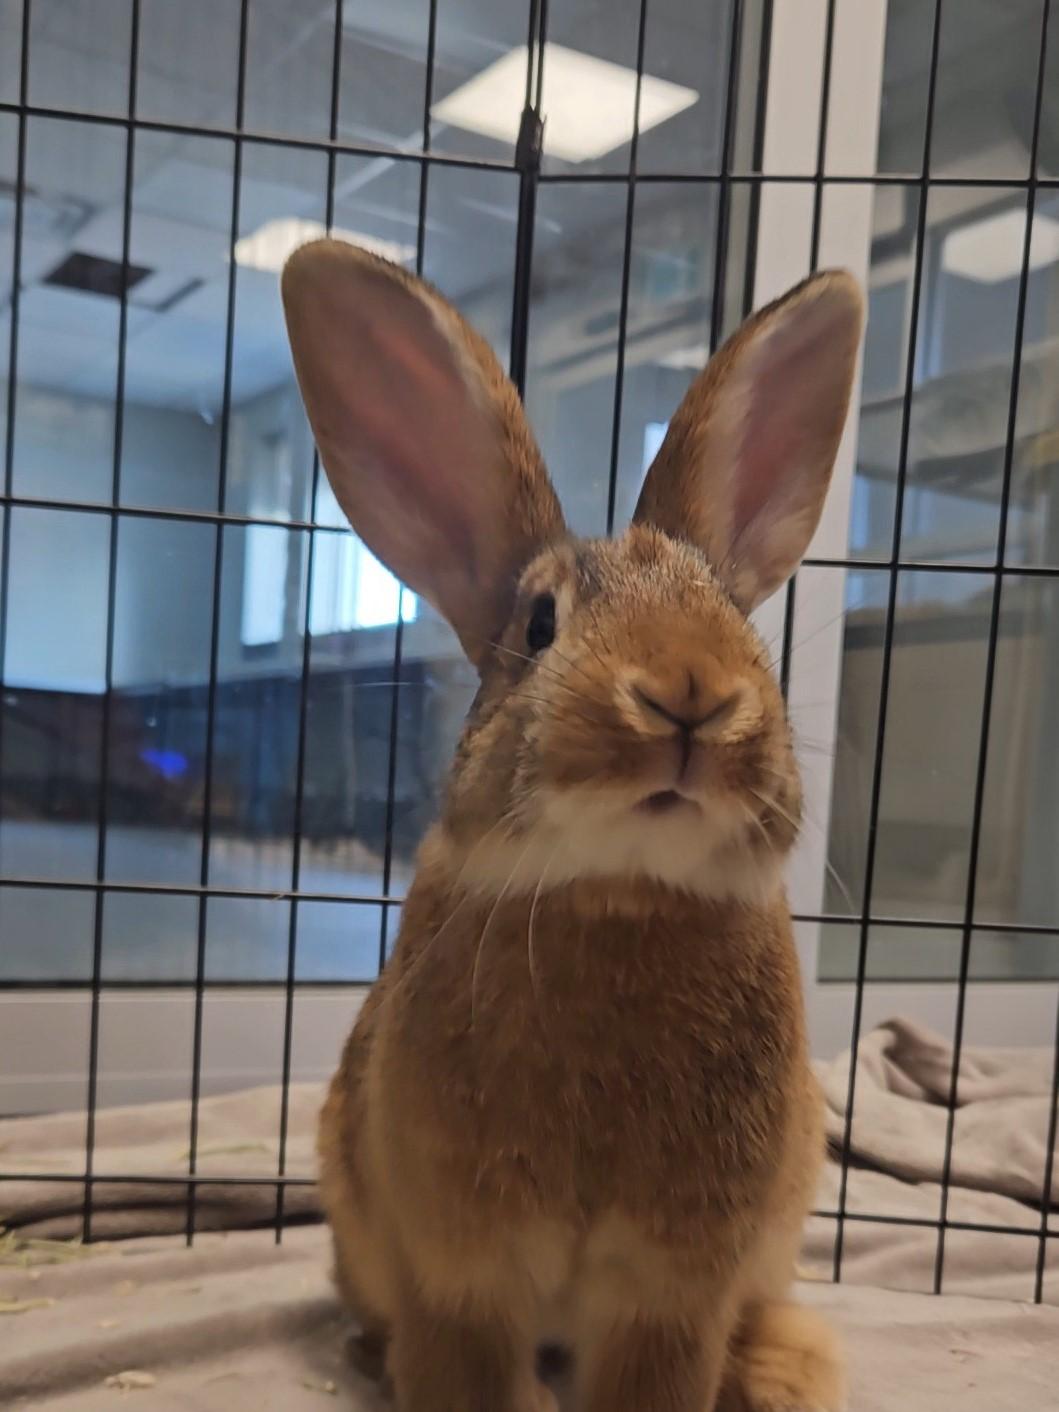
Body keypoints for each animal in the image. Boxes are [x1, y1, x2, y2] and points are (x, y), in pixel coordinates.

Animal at [282, 238, 864, 1412]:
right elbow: (463, 1369)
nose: (689, 695)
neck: (617, 889)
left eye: (739, 622)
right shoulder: (461, 1271)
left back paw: (783, 1368)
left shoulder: (673, 1289)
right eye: (540, 626)